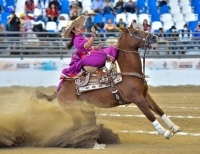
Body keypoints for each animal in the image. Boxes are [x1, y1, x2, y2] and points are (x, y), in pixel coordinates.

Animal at [36, 26, 181, 140]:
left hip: (88, 109)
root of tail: (59, 90)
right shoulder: (137, 98)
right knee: (76, 126)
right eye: (136, 32)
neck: (126, 72)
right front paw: (165, 132)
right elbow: (150, 115)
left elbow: (159, 110)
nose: (155, 37)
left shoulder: (145, 95)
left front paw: (174, 127)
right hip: (74, 111)